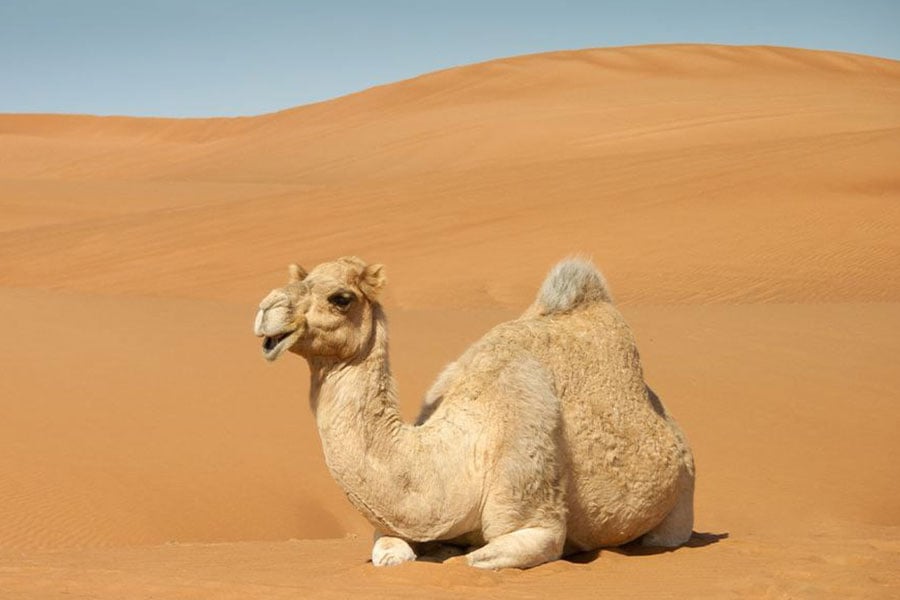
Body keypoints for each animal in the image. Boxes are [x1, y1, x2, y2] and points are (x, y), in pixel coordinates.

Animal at [253, 256, 695, 569]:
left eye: (341, 298)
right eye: (302, 278)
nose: (265, 309)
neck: (456, 457)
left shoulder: (534, 522)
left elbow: (476, 559)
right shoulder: (396, 524)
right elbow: (389, 553)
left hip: (683, 495)